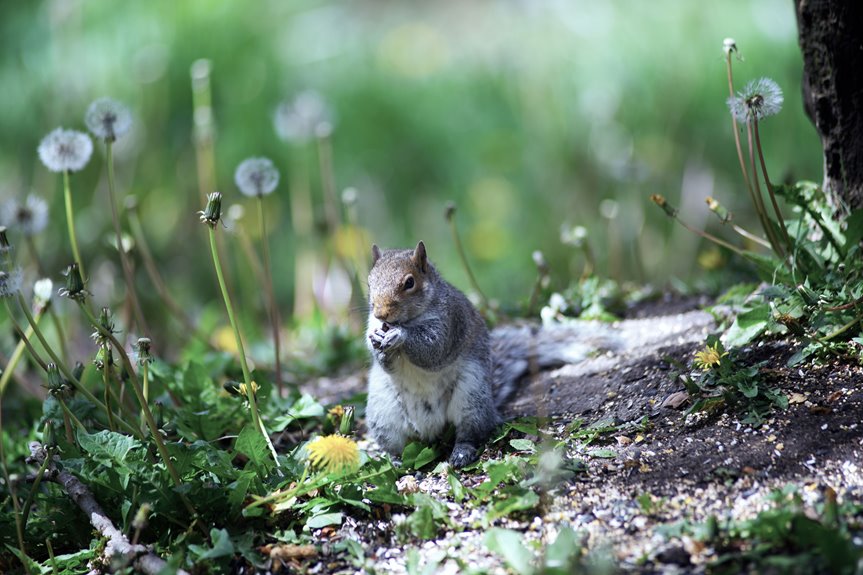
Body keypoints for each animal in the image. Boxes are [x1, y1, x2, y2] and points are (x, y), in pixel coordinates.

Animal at [365, 241, 604, 468]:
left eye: (409, 283)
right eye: (369, 282)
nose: (380, 314)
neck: (409, 320)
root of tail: (431, 431)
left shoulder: (451, 322)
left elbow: (433, 350)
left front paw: (399, 335)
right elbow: (386, 363)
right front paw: (378, 344)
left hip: (471, 399)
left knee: (471, 433)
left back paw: (462, 452)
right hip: (383, 414)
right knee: (397, 445)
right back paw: (395, 460)